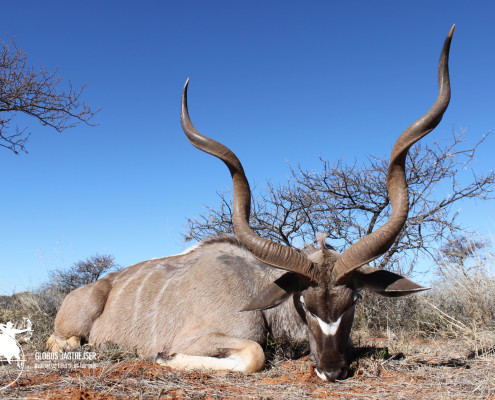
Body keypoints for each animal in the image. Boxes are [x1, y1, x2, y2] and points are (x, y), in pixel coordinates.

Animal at [48, 26, 456, 382]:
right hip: (70, 328)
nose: (331, 370)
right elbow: (254, 354)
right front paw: (163, 356)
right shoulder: (209, 336)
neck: (258, 286)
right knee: (61, 341)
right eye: (304, 303)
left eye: (353, 300)